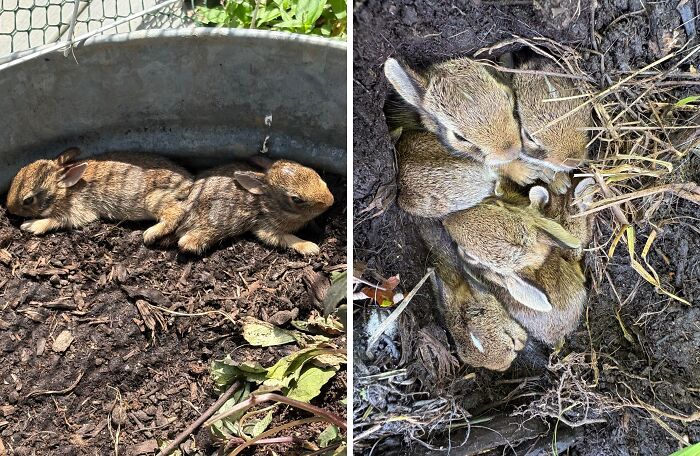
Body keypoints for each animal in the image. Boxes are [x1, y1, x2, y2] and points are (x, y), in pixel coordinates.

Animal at [5, 148, 193, 244]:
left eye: (28, 200)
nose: (9, 208)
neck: (64, 190)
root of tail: (188, 183)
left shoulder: (76, 210)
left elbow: (55, 221)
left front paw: (30, 226)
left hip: (153, 199)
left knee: (176, 212)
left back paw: (151, 233)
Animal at [174, 158, 334, 255]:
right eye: (296, 199)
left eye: (314, 173)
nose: (330, 201)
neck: (272, 203)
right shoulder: (266, 225)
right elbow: (285, 238)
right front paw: (310, 247)